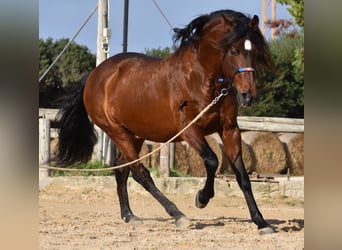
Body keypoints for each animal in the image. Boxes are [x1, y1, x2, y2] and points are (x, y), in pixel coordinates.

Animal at [57, 9, 274, 234]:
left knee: (122, 169)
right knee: (140, 173)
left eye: (253, 51)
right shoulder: (189, 129)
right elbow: (212, 160)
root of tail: (94, 75)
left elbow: (243, 177)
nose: (248, 95)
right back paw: (178, 215)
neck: (201, 80)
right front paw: (201, 198)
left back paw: (129, 216)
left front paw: (261, 222)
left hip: (135, 134)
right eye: (232, 51)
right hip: (116, 132)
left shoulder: (230, 130)